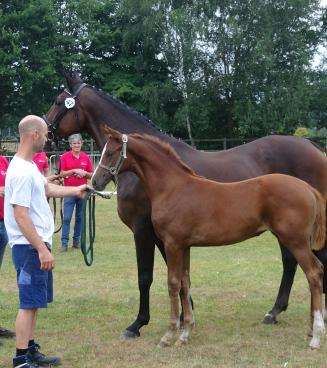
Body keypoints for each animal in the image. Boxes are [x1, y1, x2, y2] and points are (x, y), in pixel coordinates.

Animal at [91, 128, 326, 350]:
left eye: (110, 153)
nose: (95, 182)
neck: (173, 187)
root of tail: (308, 188)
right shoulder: (184, 246)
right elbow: (185, 283)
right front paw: (185, 333)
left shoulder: (172, 244)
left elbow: (173, 284)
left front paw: (168, 335)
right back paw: (311, 328)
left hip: (296, 241)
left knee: (314, 273)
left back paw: (315, 336)